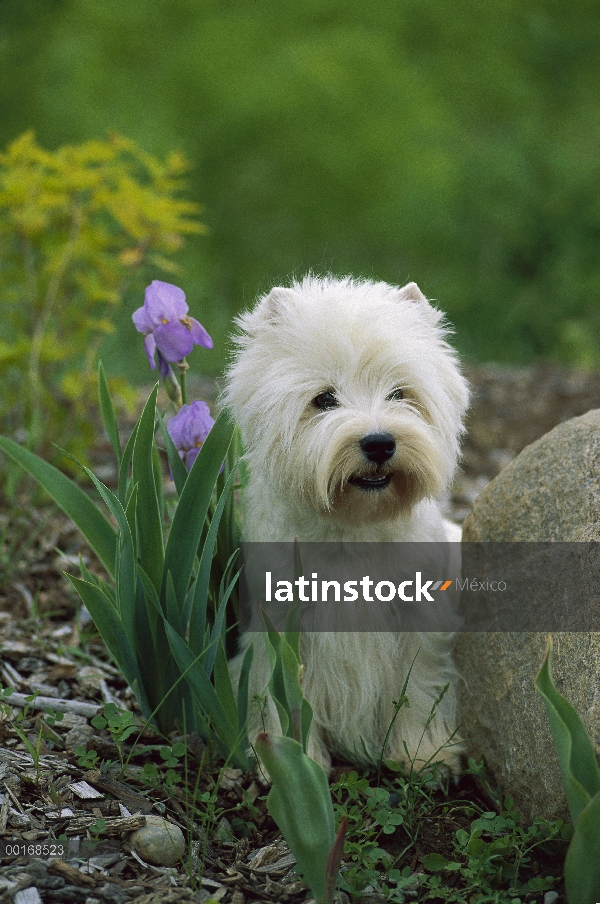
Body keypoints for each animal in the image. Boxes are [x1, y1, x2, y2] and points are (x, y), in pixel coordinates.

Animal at [225, 276, 468, 776]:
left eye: (399, 393)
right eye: (324, 399)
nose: (379, 443)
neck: (351, 529)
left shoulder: (419, 624)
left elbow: (420, 686)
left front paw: (421, 754)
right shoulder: (280, 631)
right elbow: (282, 696)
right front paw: (291, 761)